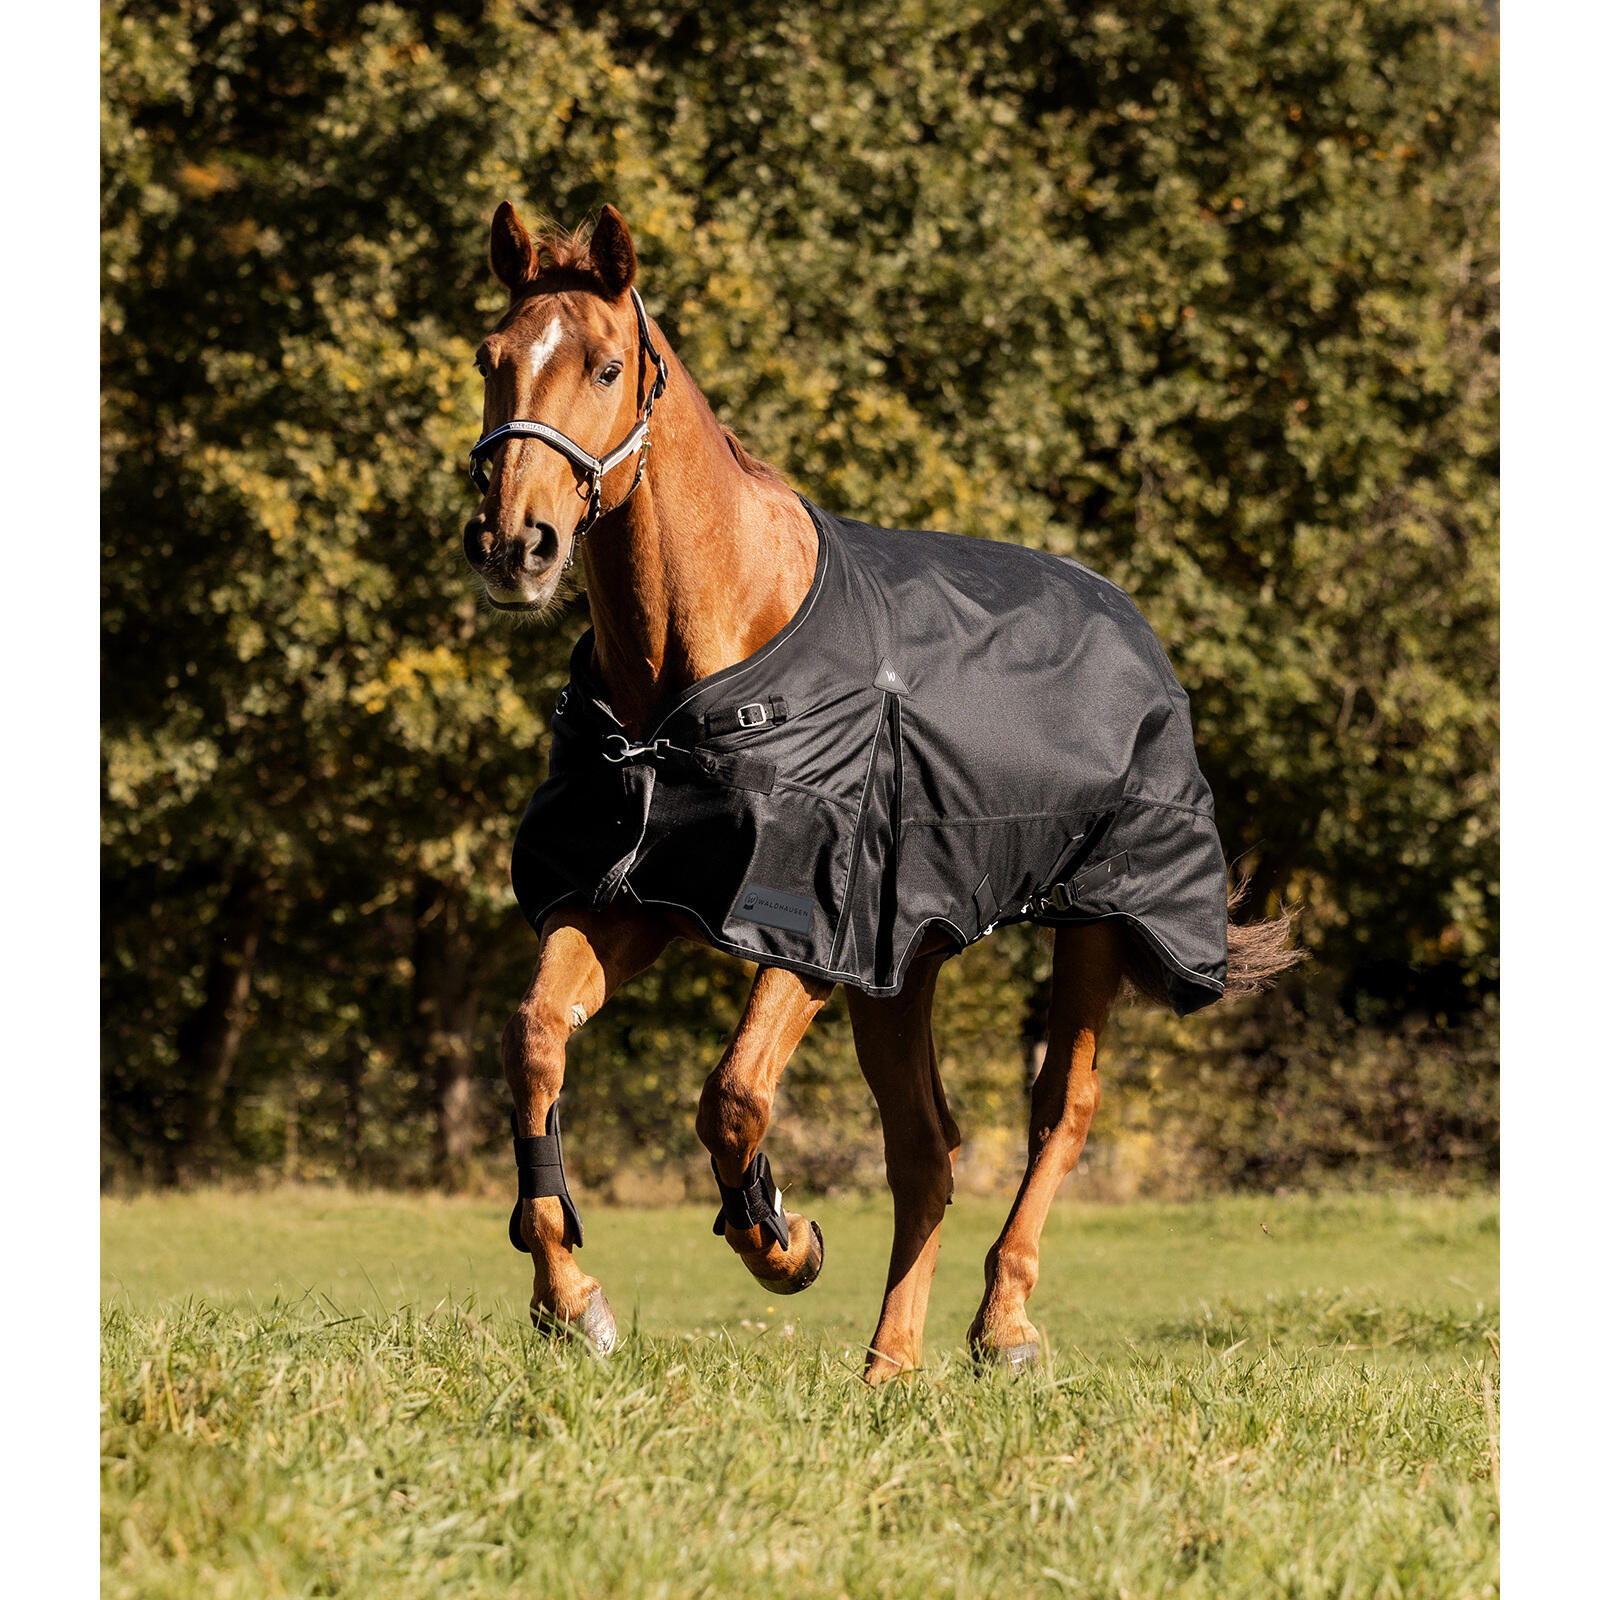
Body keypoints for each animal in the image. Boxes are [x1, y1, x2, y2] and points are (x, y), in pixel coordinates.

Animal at [461, 201, 1298, 1382]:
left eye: (606, 367)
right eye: (493, 359)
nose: (514, 545)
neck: (694, 677)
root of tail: (1128, 620)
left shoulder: (814, 925)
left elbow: (733, 1096)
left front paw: (782, 1240)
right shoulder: (630, 898)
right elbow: (535, 1037)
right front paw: (571, 1300)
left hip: (1091, 923)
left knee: (1060, 1109)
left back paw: (1003, 1326)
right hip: (905, 964)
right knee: (926, 1149)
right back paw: (889, 1364)